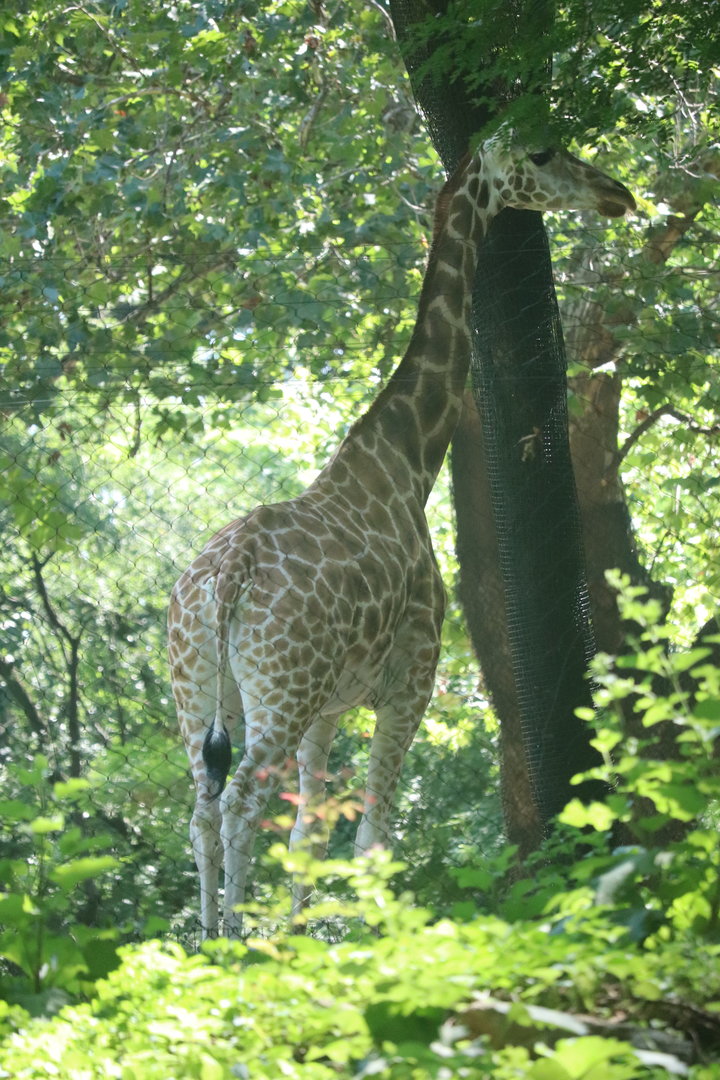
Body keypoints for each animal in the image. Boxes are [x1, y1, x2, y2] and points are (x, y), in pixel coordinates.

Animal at [168, 133, 635, 938]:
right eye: (544, 154)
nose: (618, 194)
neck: (409, 458)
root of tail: (226, 579)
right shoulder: (411, 678)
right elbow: (373, 836)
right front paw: (374, 946)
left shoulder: (329, 709)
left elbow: (311, 835)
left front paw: (304, 943)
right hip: (278, 690)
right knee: (241, 802)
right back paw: (233, 942)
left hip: (200, 683)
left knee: (201, 806)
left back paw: (201, 945)